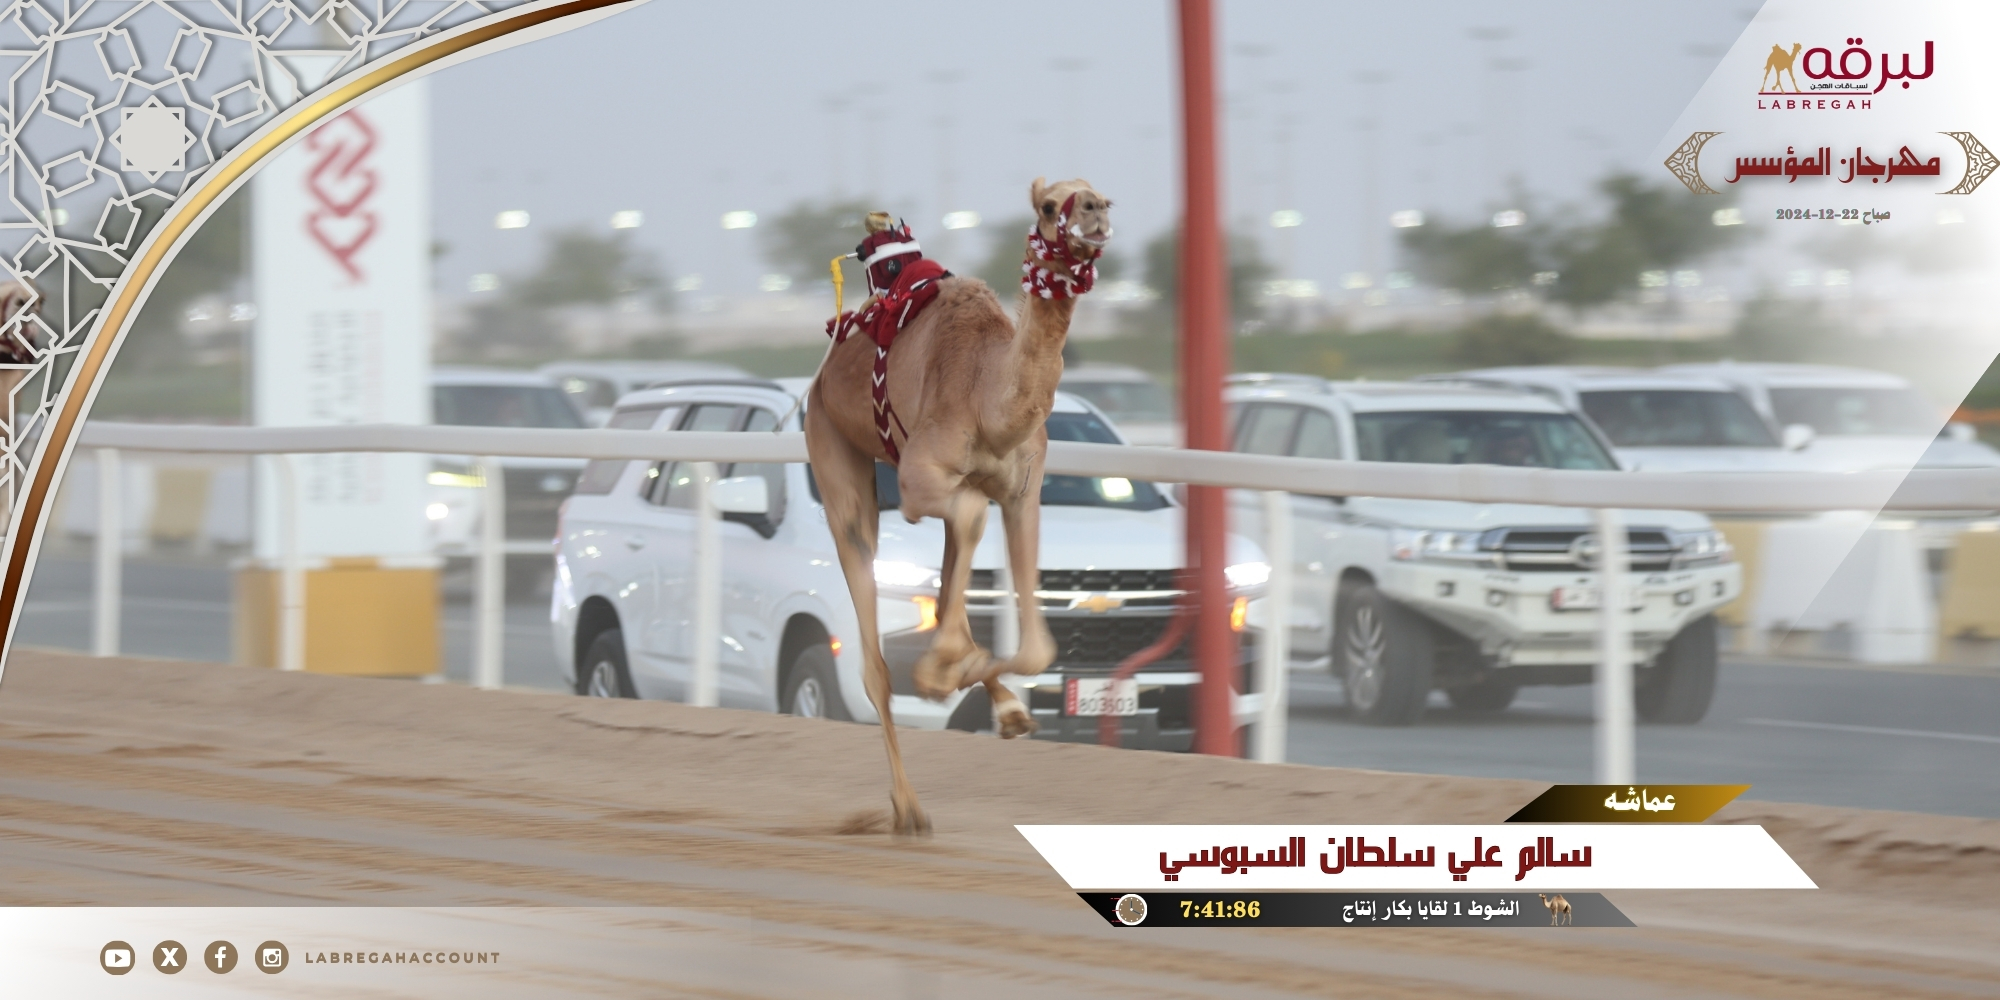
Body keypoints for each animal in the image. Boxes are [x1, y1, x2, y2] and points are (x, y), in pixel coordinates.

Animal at [805, 178, 1111, 835]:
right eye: (1050, 206)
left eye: (1099, 194)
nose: (1094, 213)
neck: (989, 398)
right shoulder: (921, 480)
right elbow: (968, 514)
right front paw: (938, 670)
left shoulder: (1024, 490)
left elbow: (1036, 648)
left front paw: (995, 698)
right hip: (833, 451)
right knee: (873, 650)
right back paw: (907, 808)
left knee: (953, 572)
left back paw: (1001, 707)